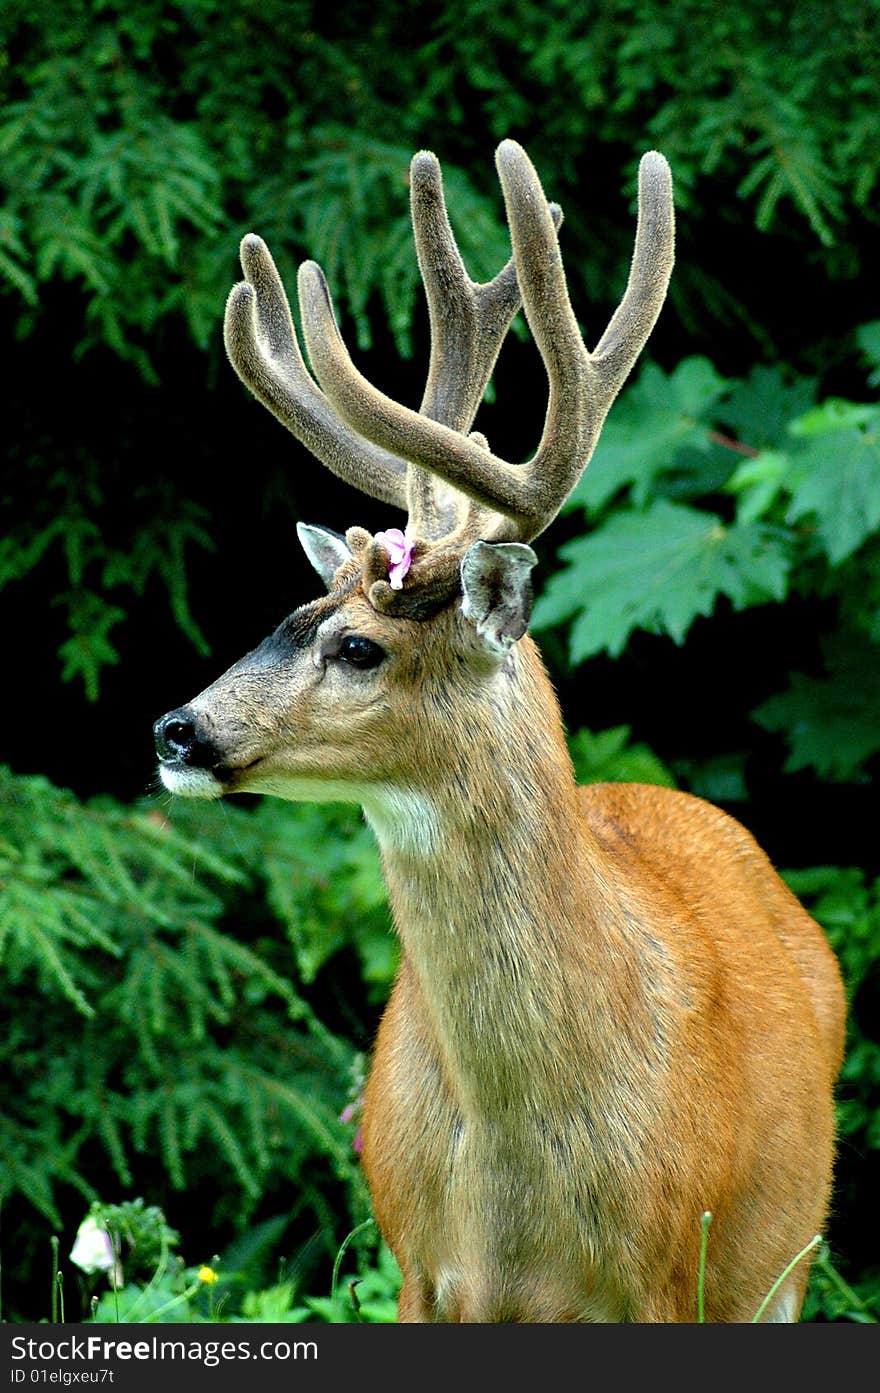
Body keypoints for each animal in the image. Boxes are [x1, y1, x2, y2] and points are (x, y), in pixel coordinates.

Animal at [154, 135, 846, 1320]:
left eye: (358, 648)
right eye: (291, 612)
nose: (177, 730)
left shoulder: (666, 1271)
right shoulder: (414, 1266)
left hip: (784, 1262)